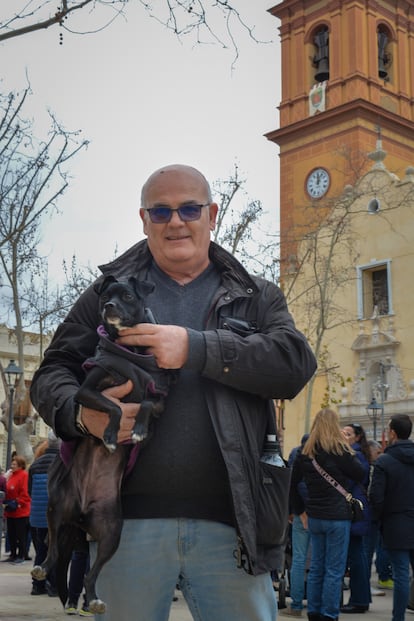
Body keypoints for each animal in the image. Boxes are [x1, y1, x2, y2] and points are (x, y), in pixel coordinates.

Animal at [32, 278, 173, 616]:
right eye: (106, 295)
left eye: (128, 296)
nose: (109, 307)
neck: (130, 352)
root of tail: (81, 513)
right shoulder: (86, 392)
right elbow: (114, 407)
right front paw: (110, 435)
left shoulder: (158, 400)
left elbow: (142, 404)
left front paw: (136, 431)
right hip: (56, 509)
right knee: (53, 552)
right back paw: (43, 568)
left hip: (111, 533)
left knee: (89, 575)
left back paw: (94, 598)